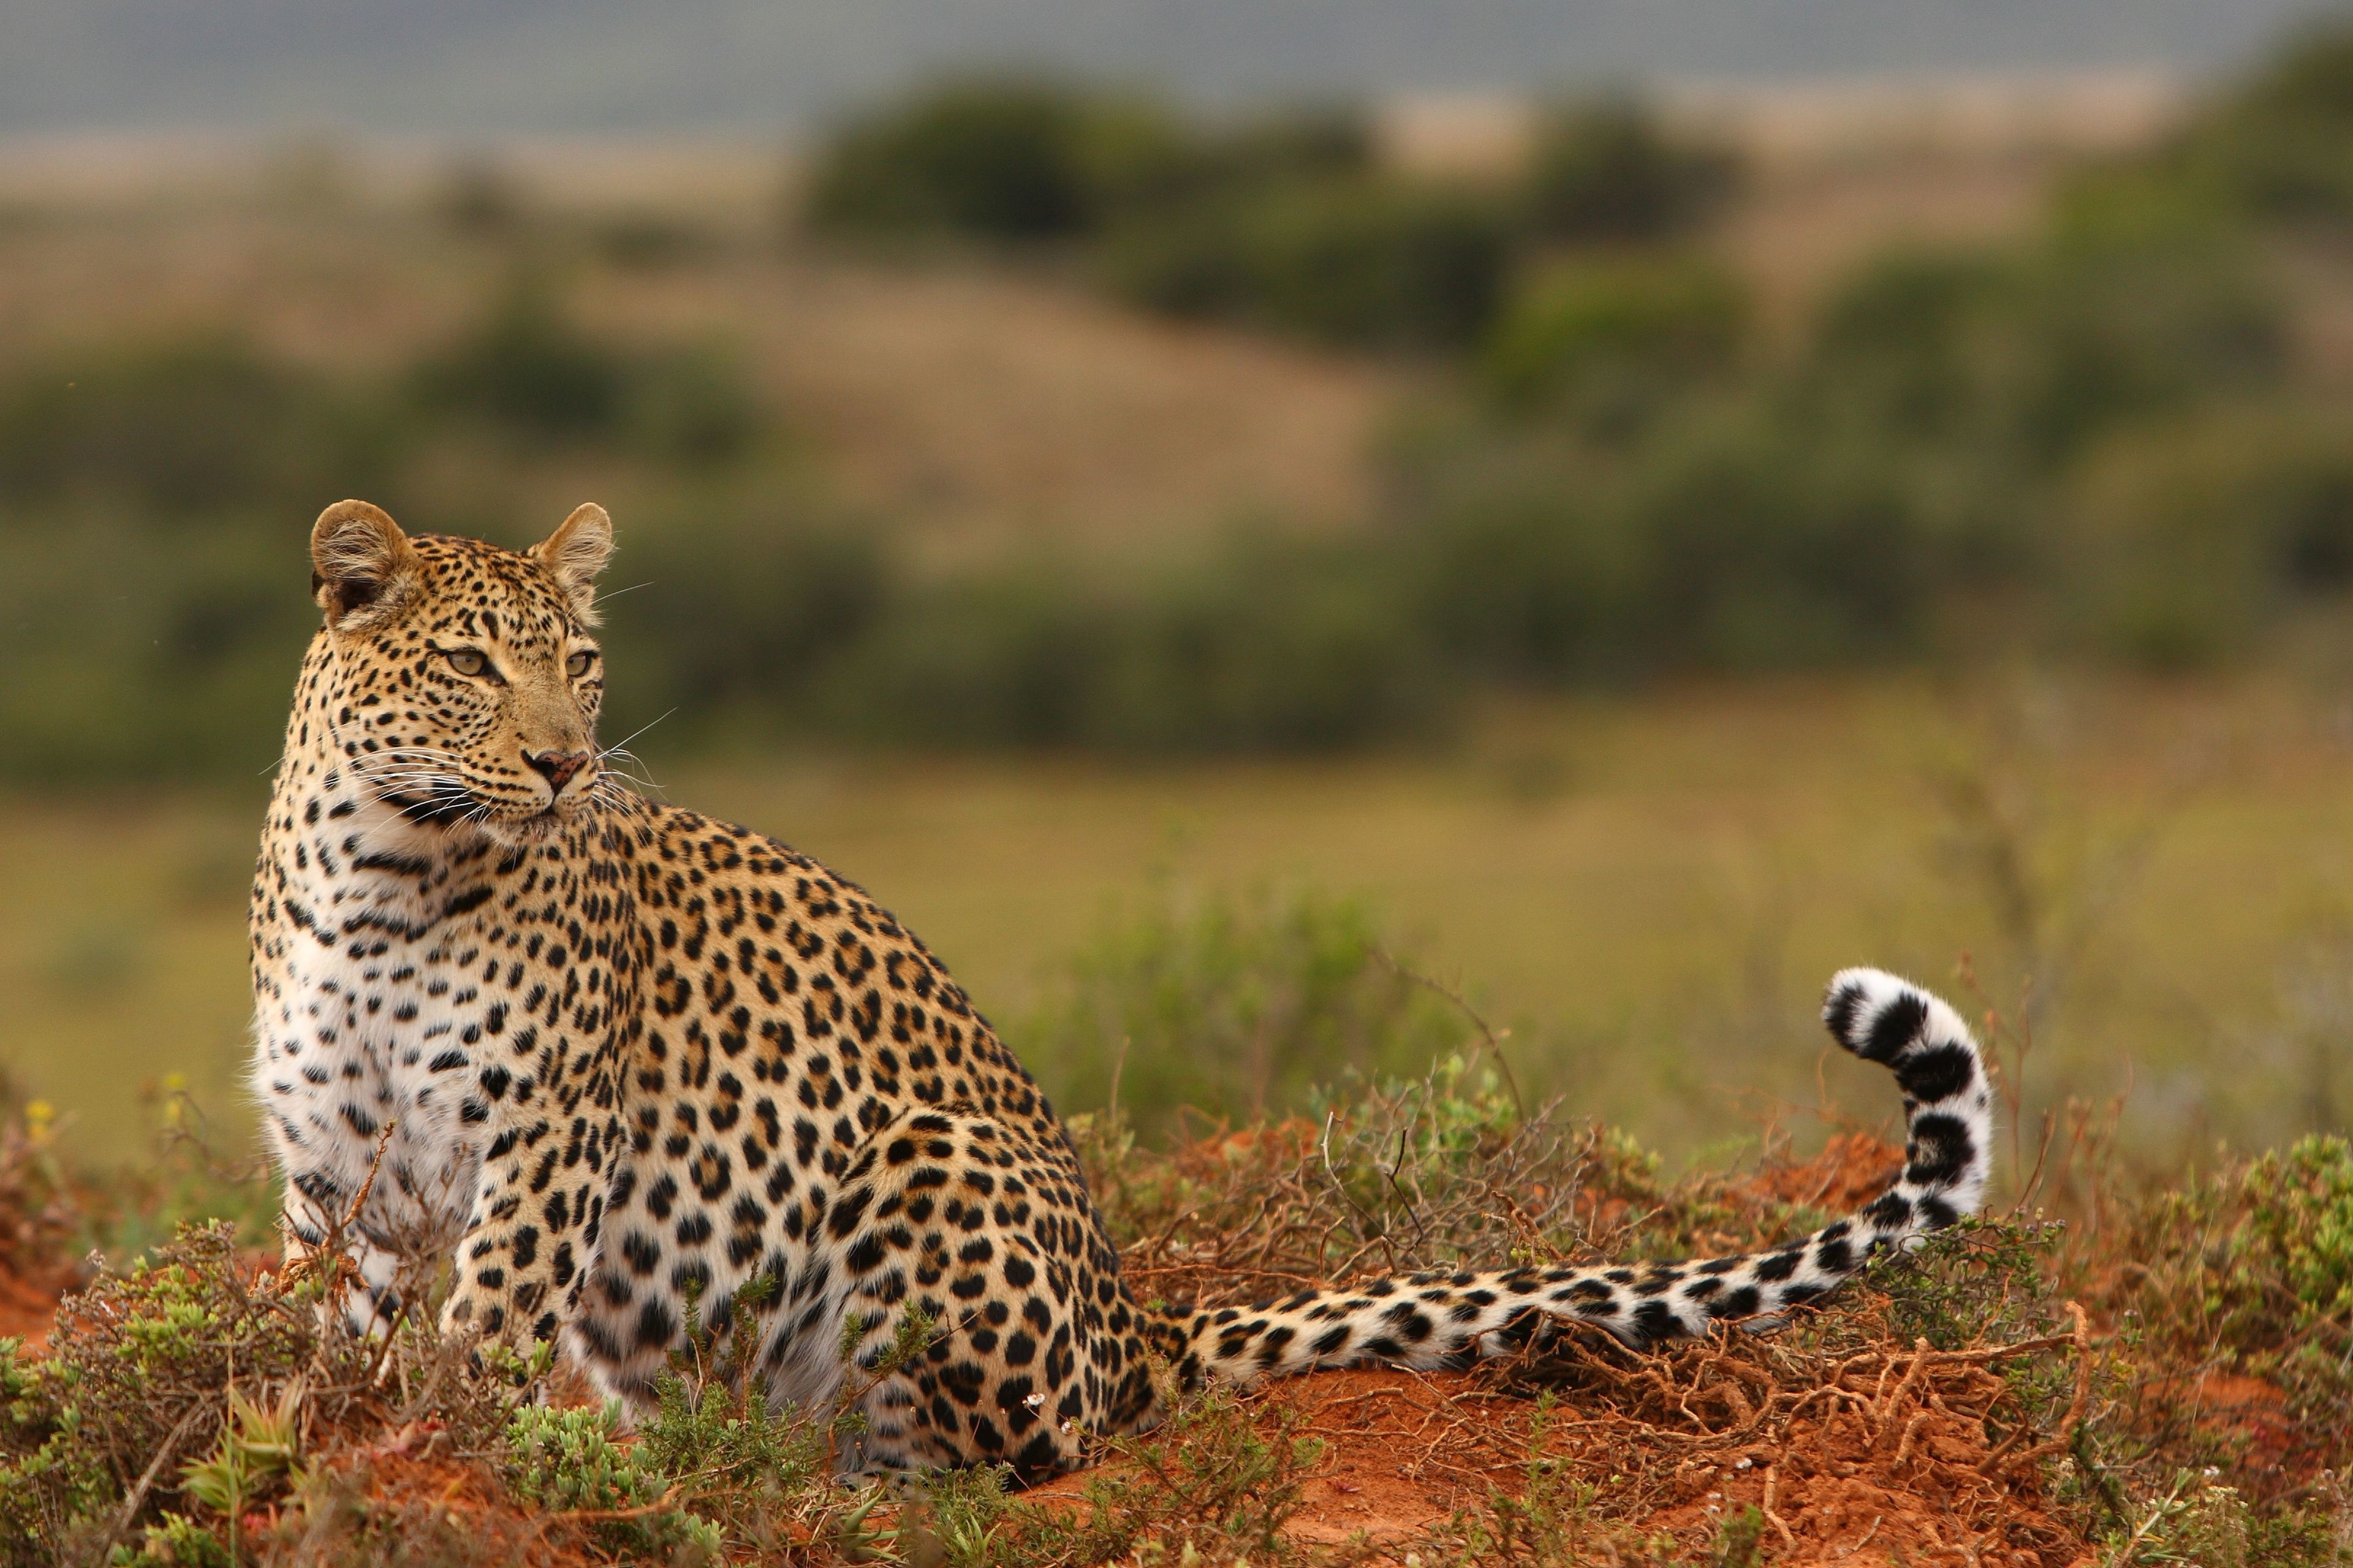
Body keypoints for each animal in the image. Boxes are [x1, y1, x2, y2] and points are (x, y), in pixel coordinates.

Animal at [250, 498, 1996, 1483]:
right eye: (473, 666)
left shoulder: (541, 1137)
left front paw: (457, 1447)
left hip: (932, 1163)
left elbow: (483, 1326)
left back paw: (810, 1469)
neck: (388, 873)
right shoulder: (330, 1163)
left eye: (583, 664)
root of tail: (1127, 1310)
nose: (564, 761)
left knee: (1017, 1448)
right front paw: (328, 1423)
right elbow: (338, 1324)